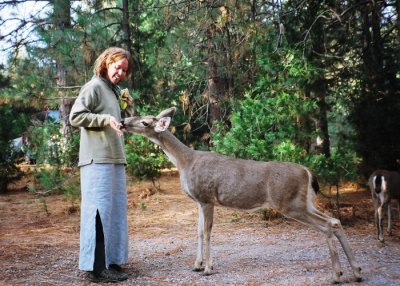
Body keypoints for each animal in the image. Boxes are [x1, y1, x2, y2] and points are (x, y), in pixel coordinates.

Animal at [122, 108, 362, 284]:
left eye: (145, 122)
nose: (123, 121)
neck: (184, 161)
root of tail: (308, 172)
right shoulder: (198, 201)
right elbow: (198, 232)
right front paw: (197, 265)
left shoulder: (207, 197)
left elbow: (207, 232)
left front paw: (208, 268)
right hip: (305, 202)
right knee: (335, 220)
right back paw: (357, 272)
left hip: (290, 204)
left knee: (327, 225)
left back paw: (337, 275)